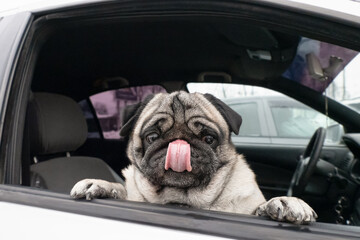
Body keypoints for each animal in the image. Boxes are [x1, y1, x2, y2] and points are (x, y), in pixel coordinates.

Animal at [71, 91, 318, 224]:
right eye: (152, 137)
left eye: (208, 138)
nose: (180, 145)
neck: (184, 198)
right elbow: (122, 190)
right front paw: (100, 185)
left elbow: (262, 206)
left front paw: (286, 202)